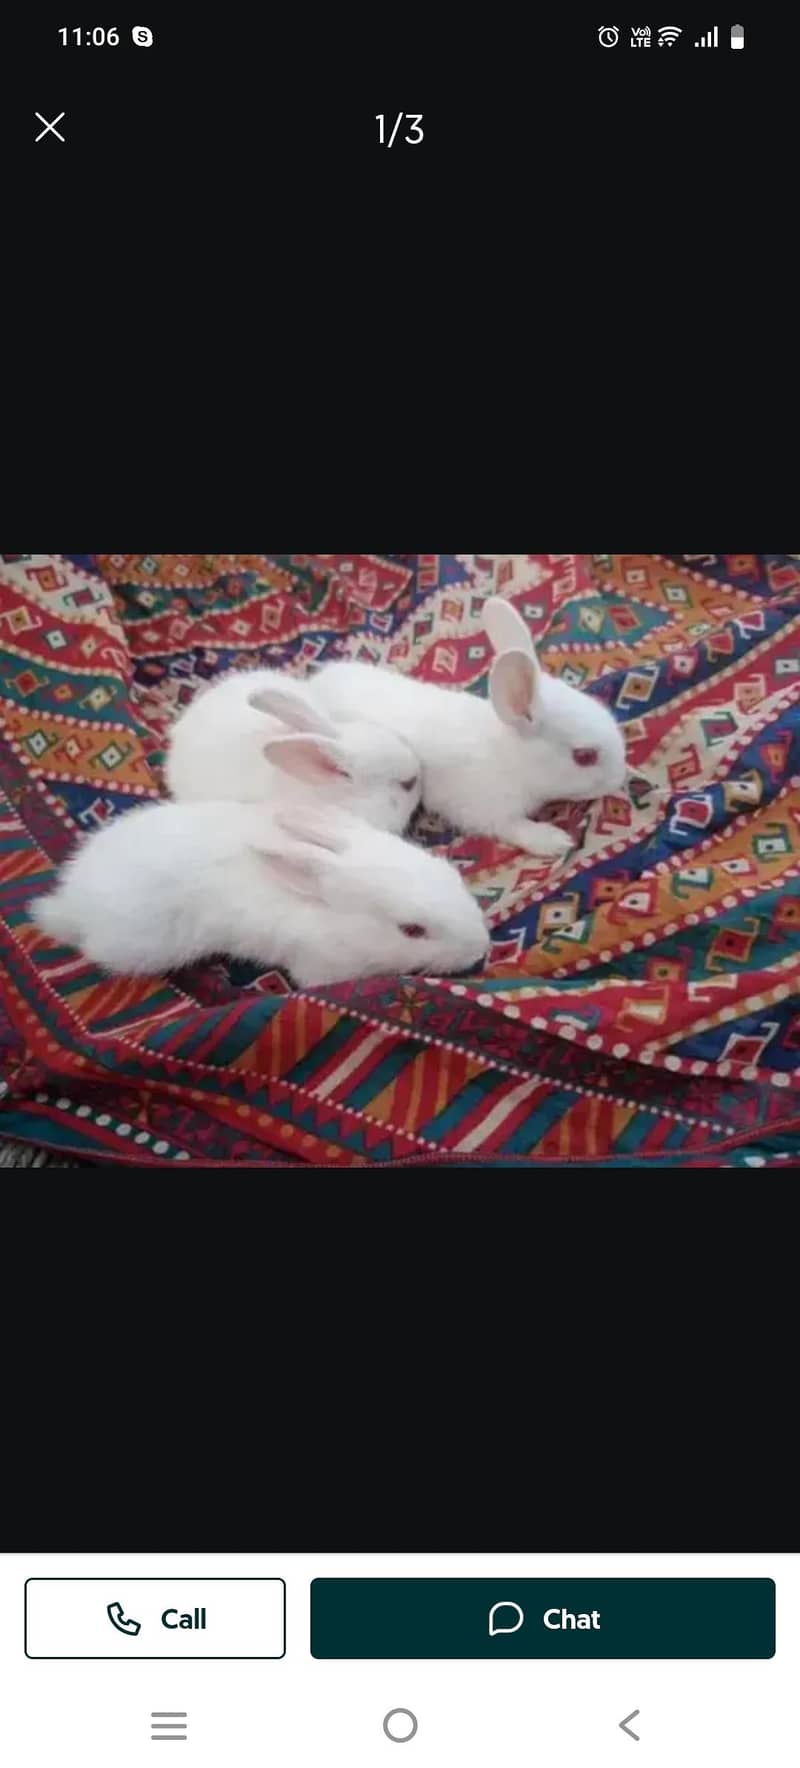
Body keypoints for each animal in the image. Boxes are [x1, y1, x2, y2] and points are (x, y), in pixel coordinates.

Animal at [310, 596, 628, 857]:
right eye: (584, 756)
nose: (621, 777)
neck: (513, 760)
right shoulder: (487, 810)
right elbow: (512, 827)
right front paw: (555, 840)